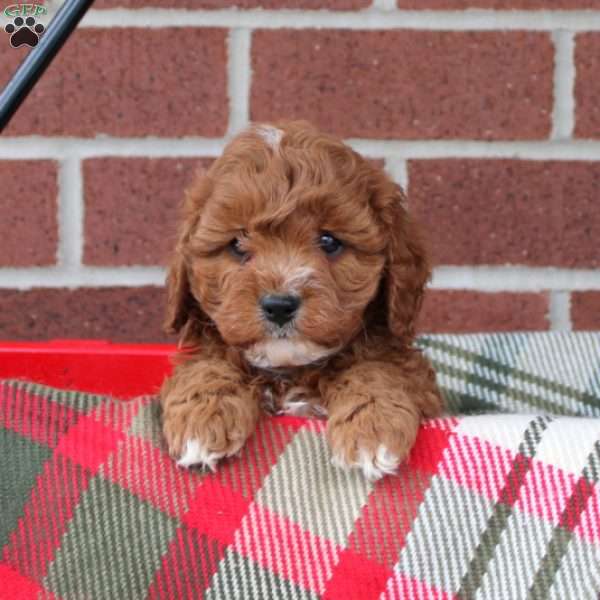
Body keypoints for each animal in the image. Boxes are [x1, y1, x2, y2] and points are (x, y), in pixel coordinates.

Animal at [162, 119, 442, 480]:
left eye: (329, 241)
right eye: (237, 244)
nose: (279, 305)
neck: (290, 371)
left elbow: (377, 370)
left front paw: (372, 427)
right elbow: (208, 366)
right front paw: (201, 418)